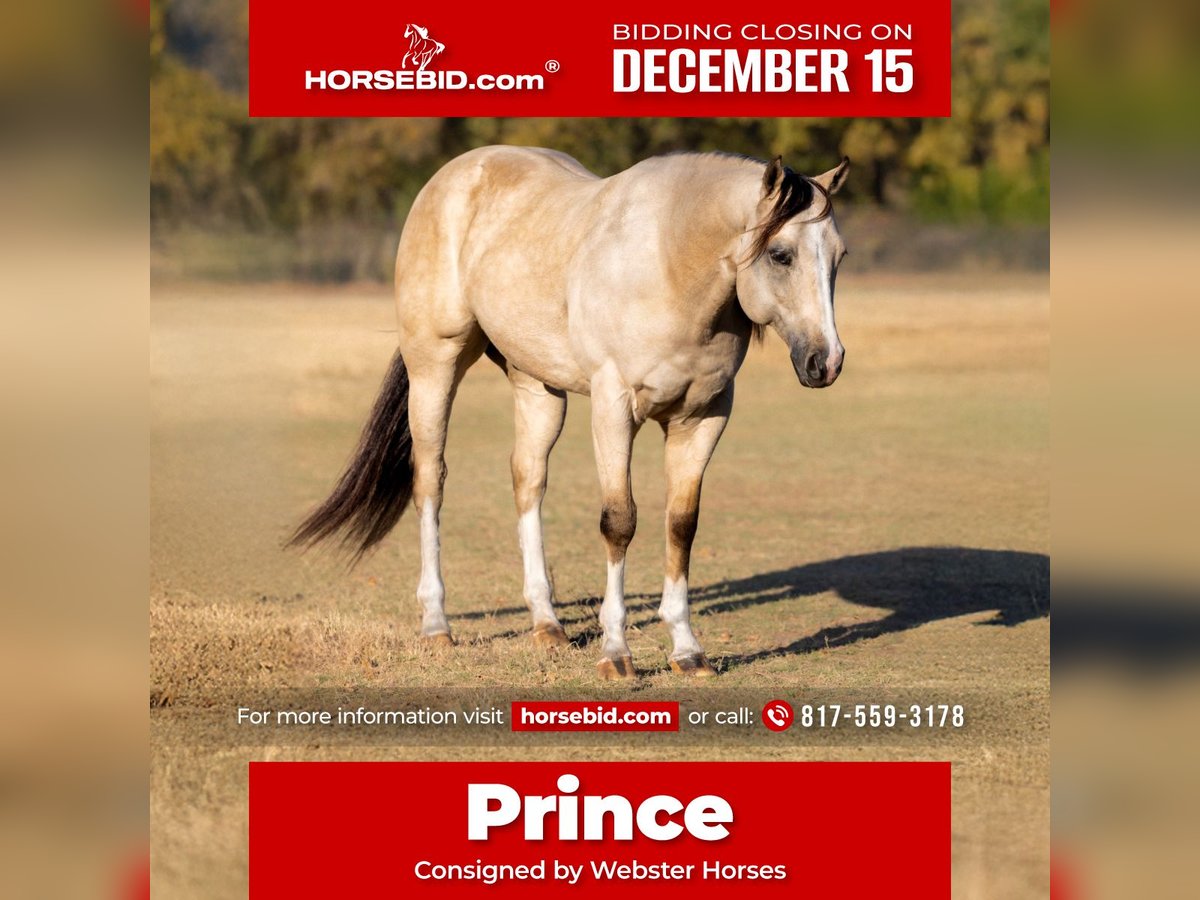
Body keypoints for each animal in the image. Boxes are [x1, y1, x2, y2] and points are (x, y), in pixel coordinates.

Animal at [290, 147, 850, 680]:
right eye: (780, 254)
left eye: (838, 257)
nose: (826, 362)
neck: (670, 264)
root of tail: (450, 177)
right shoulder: (613, 406)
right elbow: (619, 522)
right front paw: (616, 654)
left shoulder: (703, 417)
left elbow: (681, 525)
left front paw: (688, 652)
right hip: (435, 366)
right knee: (430, 480)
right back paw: (436, 626)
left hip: (537, 386)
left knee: (528, 481)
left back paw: (547, 624)